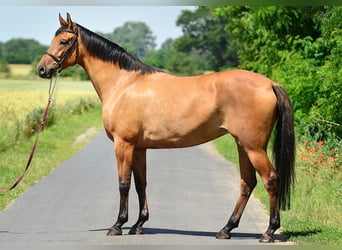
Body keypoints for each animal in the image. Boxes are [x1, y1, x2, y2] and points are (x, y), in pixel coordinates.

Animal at [36, 13, 294, 242]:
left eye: (64, 41)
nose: (42, 69)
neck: (124, 84)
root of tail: (270, 84)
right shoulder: (139, 148)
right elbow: (140, 184)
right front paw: (138, 224)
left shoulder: (123, 144)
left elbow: (123, 184)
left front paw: (118, 225)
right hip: (243, 145)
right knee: (247, 183)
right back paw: (226, 229)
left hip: (254, 147)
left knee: (271, 179)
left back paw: (268, 232)